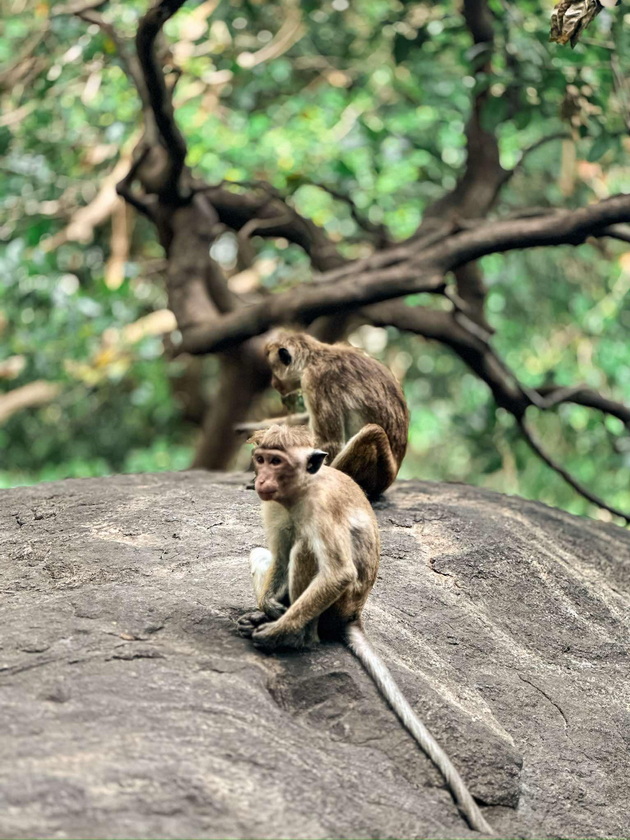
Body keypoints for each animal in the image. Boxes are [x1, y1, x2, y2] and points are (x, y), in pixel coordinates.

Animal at [239, 424, 496, 836]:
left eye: (276, 461)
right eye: (261, 459)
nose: (260, 478)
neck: (300, 492)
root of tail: (354, 615)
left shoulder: (322, 509)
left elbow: (337, 572)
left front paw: (278, 630)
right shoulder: (273, 506)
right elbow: (276, 556)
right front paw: (268, 610)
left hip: (336, 607)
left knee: (306, 550)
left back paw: (298, 637)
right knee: (267, 553)